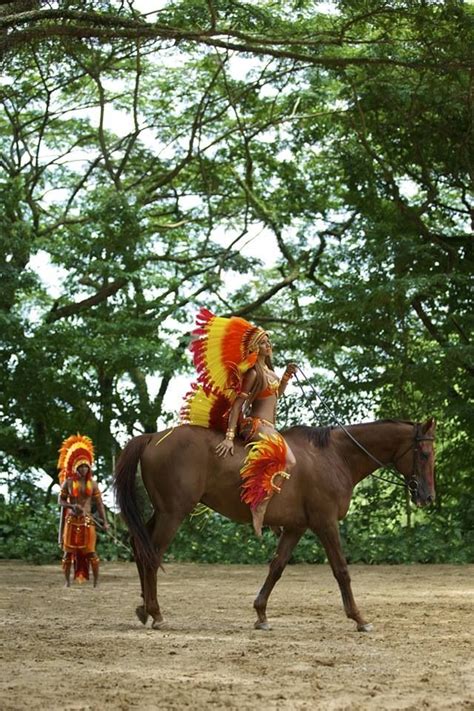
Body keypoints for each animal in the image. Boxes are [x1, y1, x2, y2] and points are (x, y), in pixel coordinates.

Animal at [113, 418, 436, 636]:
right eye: (424, 454)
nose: (428, 496)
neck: (335, 456)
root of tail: (154, 437)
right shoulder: (325, 523)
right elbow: (341, 571)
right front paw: (359, 618)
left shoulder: (295, 528)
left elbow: (277, 567)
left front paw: (261, 614)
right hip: (173, 513)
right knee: (152, 555)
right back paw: (156, 612)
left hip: (161, 513)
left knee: (139, 546)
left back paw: (144, 608)